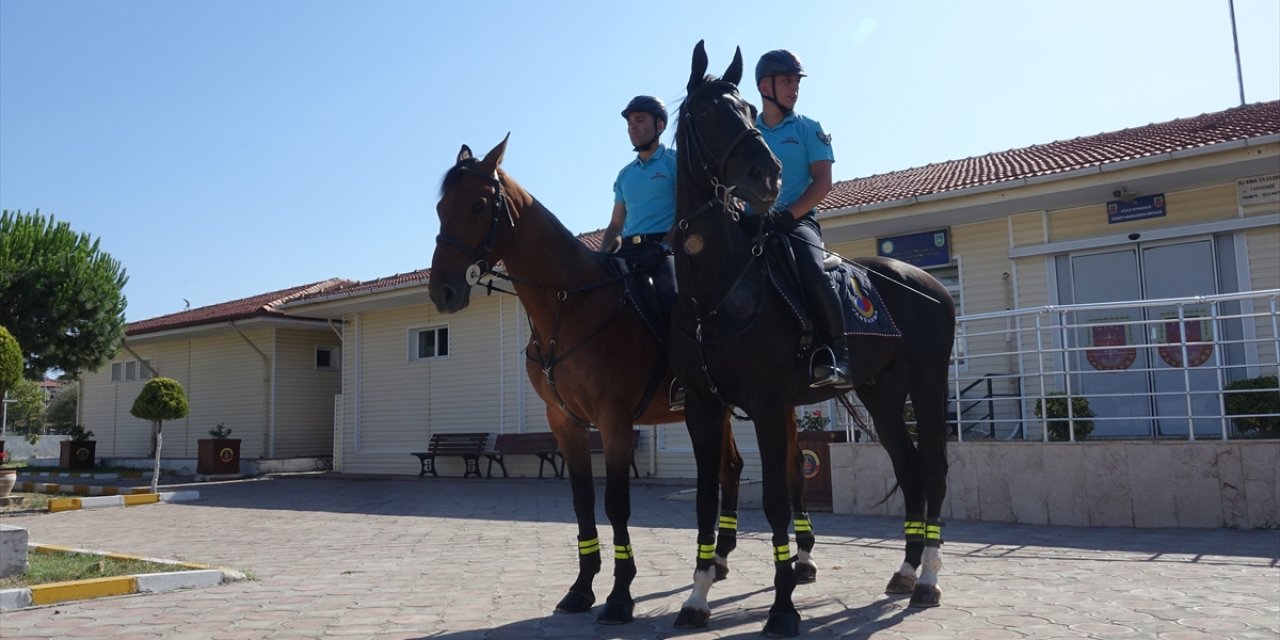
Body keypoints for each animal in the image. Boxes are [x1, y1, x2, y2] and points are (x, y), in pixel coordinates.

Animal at [670, 42, 952, 637]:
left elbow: (780, 499)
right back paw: (906, 571)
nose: (767, 176)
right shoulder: (704, 407)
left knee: (933, 469)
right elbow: (706, 499)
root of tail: (927, 282)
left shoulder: (768, 405)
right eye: (706, 112)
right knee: (909, 469)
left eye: (748, 111)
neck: (716, 290)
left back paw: (930, 579)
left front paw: (783, 606)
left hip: (927, 382)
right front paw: (698, 596)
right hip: (882, 393)